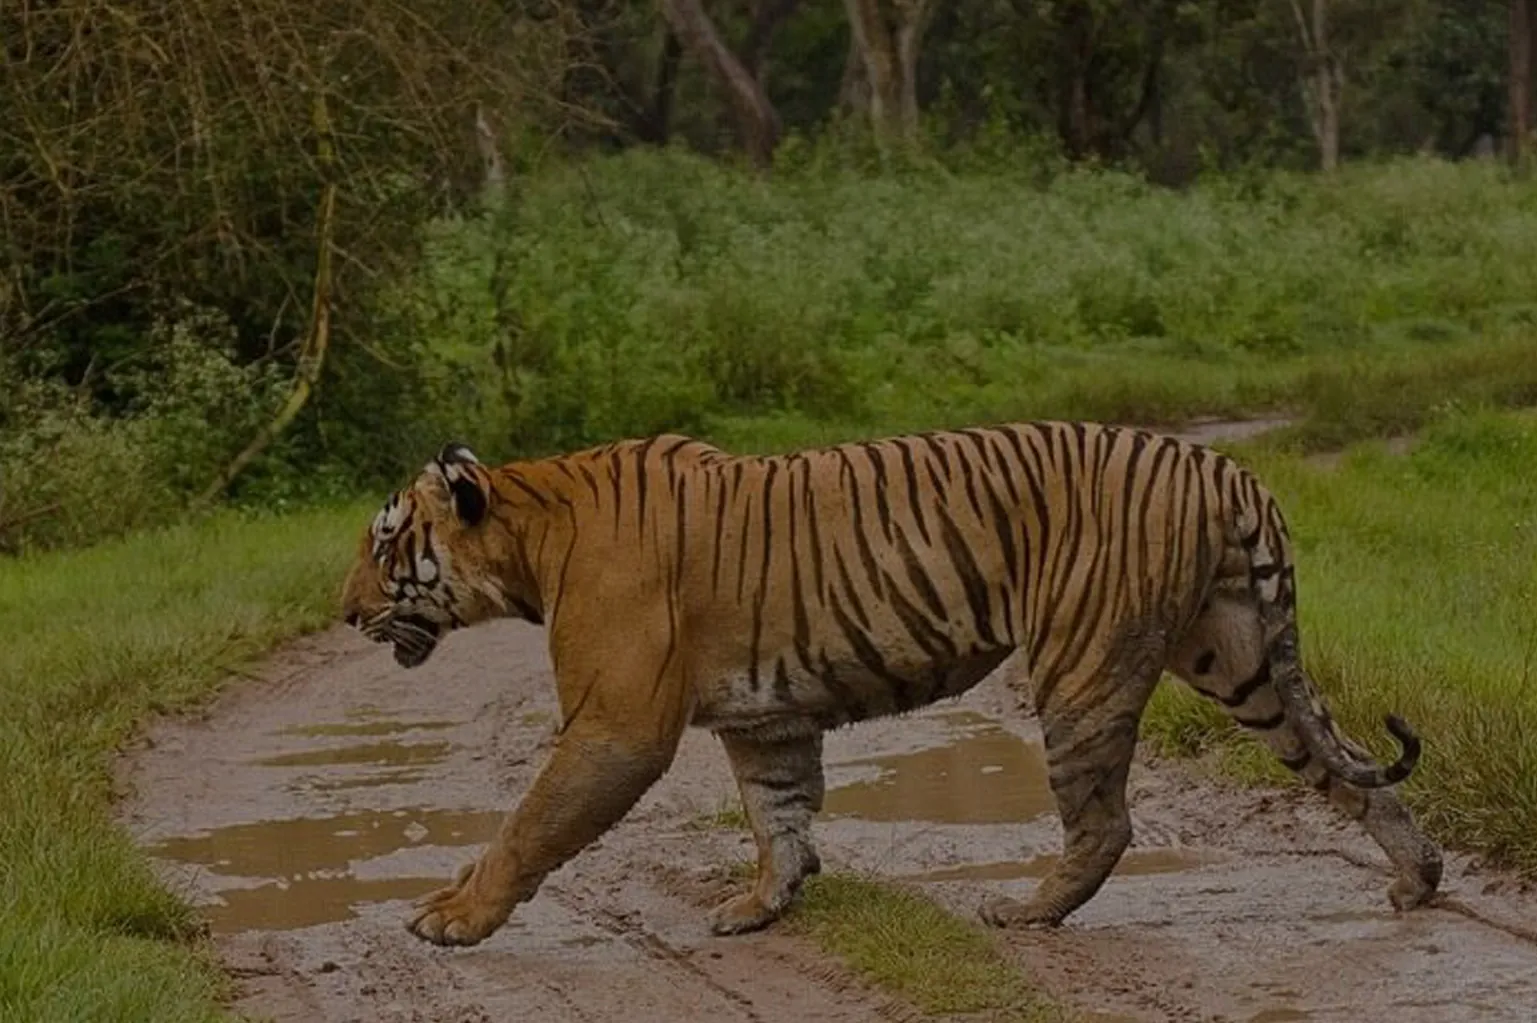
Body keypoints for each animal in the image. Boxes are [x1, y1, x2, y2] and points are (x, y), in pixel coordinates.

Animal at [340, 422, 1443, 948]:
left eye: (386, 545)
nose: (344, 612)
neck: (530, 536)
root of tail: (1223, 468)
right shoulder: (767, 718)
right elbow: (779, 815)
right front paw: (764, 904)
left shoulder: (615, 723)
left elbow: (527, 826)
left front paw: (451, 918)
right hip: (1238, 655)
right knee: (1347, 767)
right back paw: (1417, 876)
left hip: (1082, 664)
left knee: (1105, 821)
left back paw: (1026, 913)